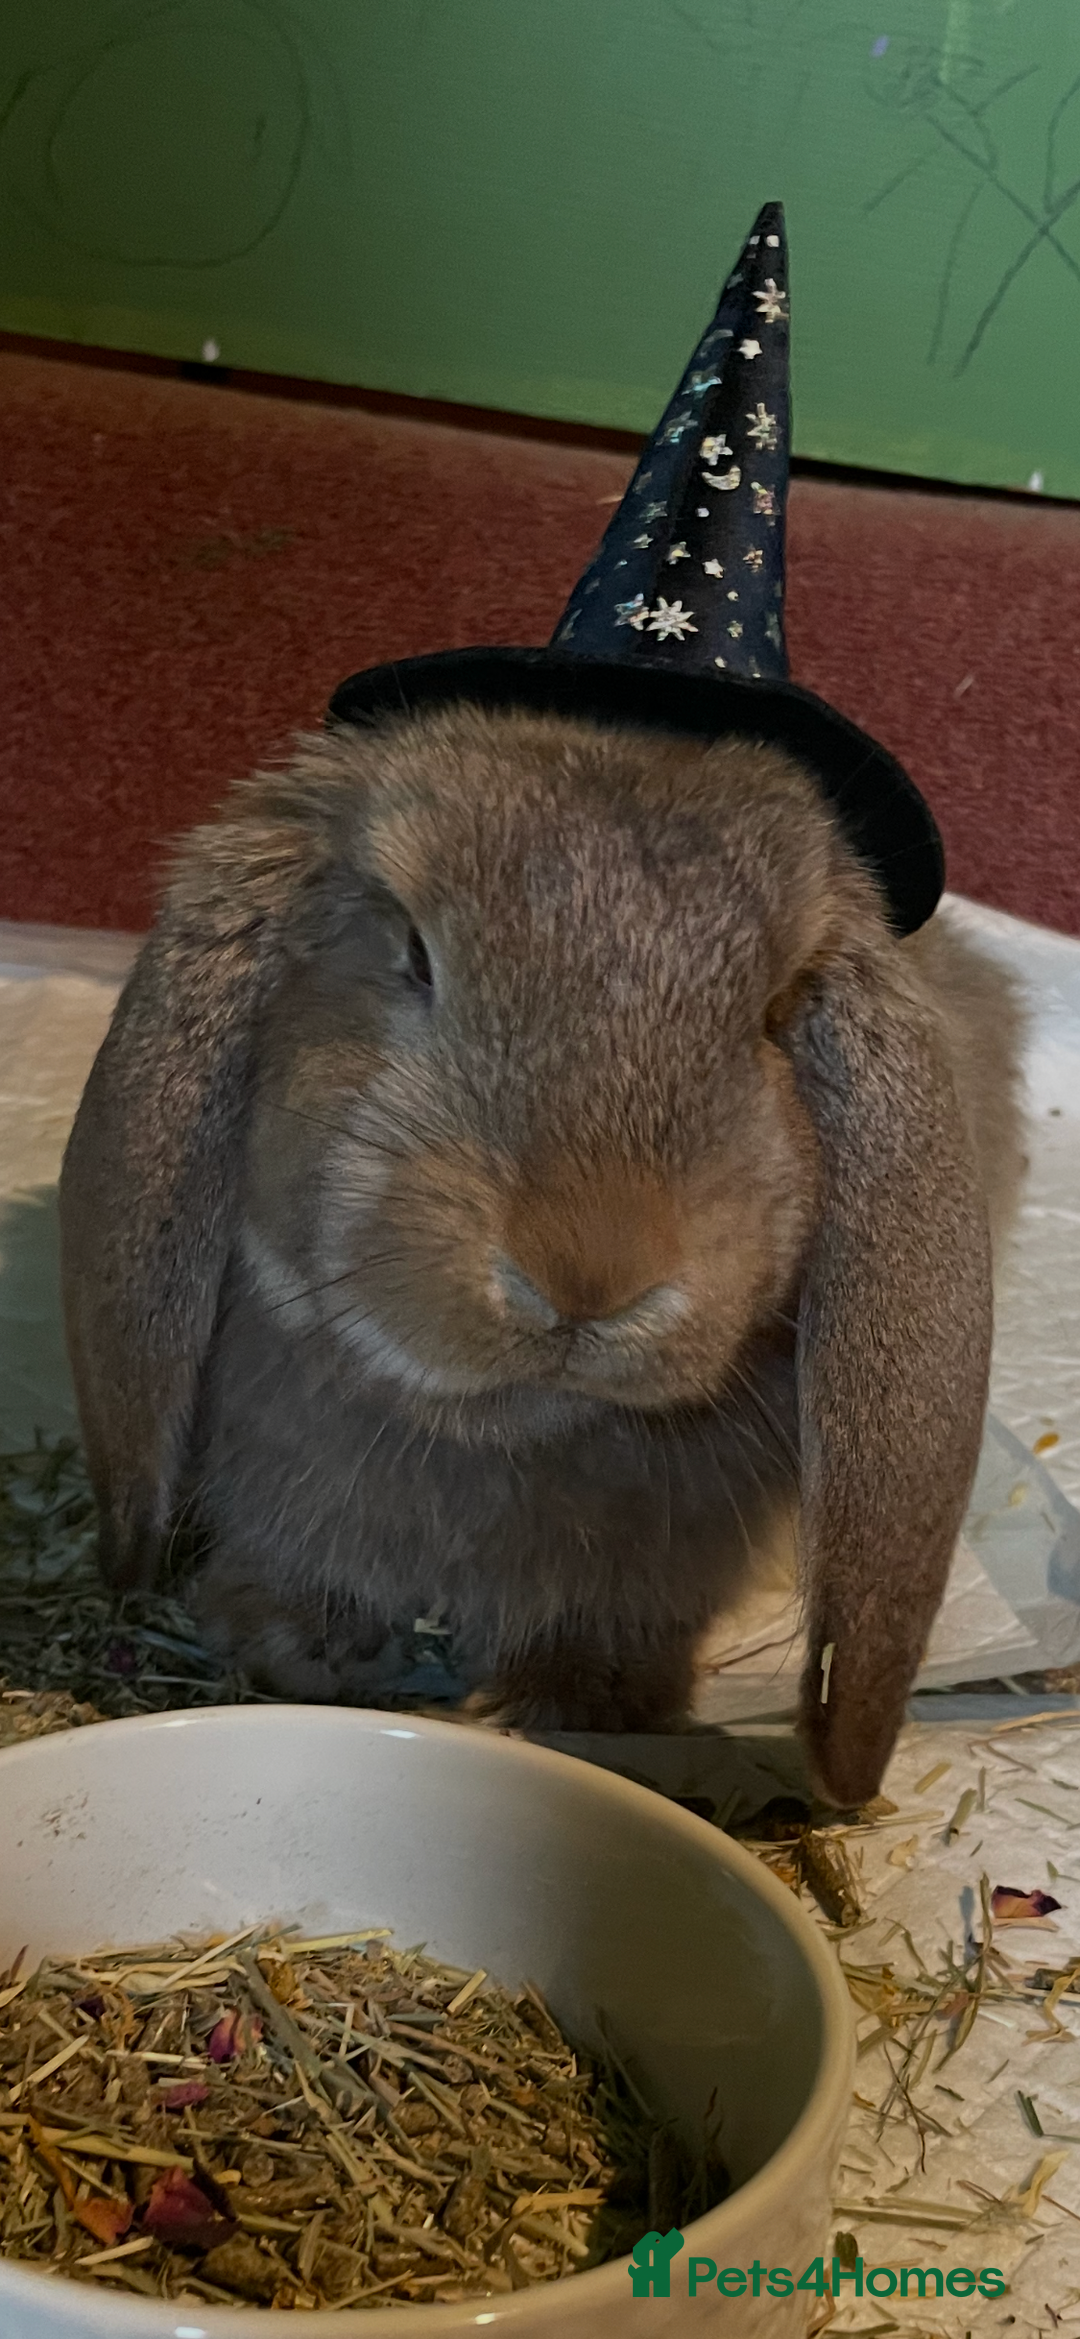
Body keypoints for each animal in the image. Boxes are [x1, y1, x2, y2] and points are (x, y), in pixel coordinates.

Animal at [58, 701, 1026, 1808]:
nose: (589, 1271)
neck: (508, 1423)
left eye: (778, 1011)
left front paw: (582, 1700)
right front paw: (294, 1642)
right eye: (415, 952)